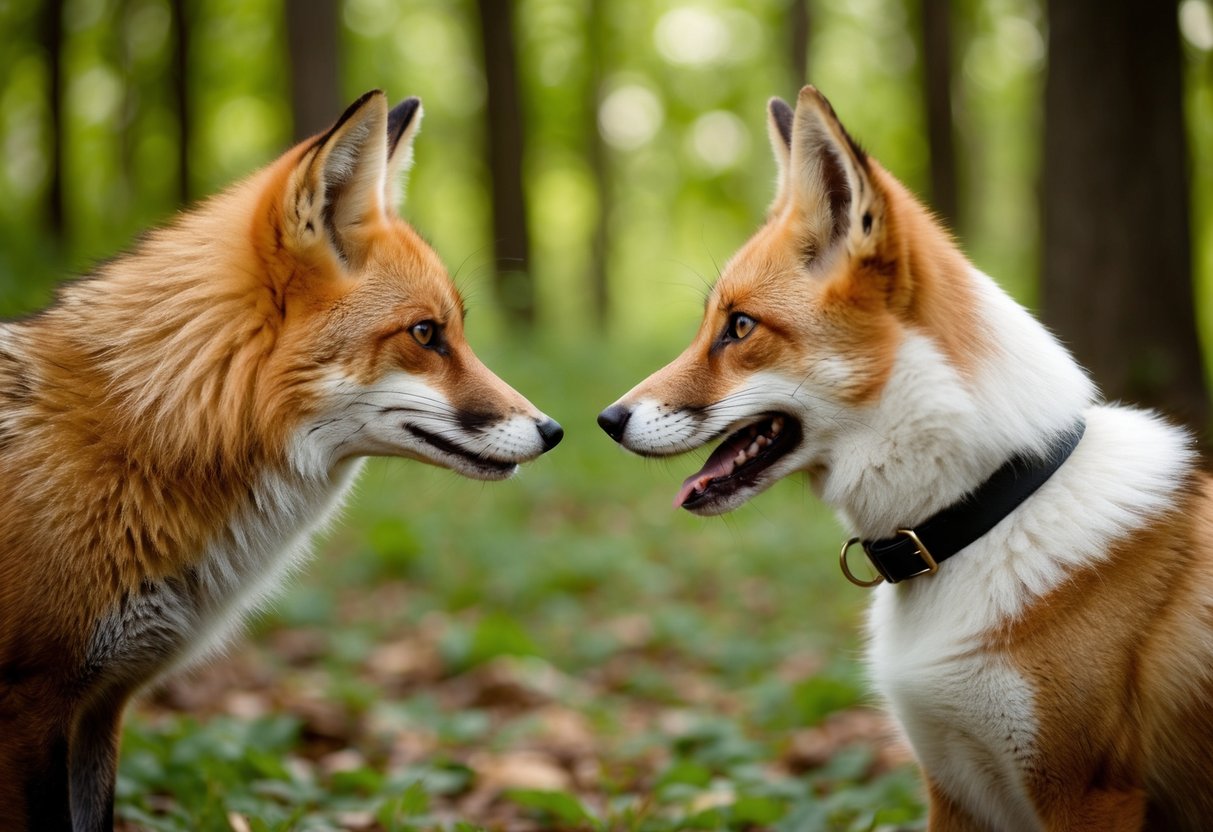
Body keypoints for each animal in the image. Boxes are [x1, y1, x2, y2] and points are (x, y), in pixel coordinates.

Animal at [0, 90, 563, 832]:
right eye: (424, 334)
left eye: (455, 331)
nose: (553, 430)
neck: (148, 432)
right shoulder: (37, 700)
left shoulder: (102, 705)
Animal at [599, 85, 1213, 831]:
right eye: (709, 324)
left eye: (739, 327)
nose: (606, 420)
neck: (985, 512)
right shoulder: (952, 787)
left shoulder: (1087, 795)